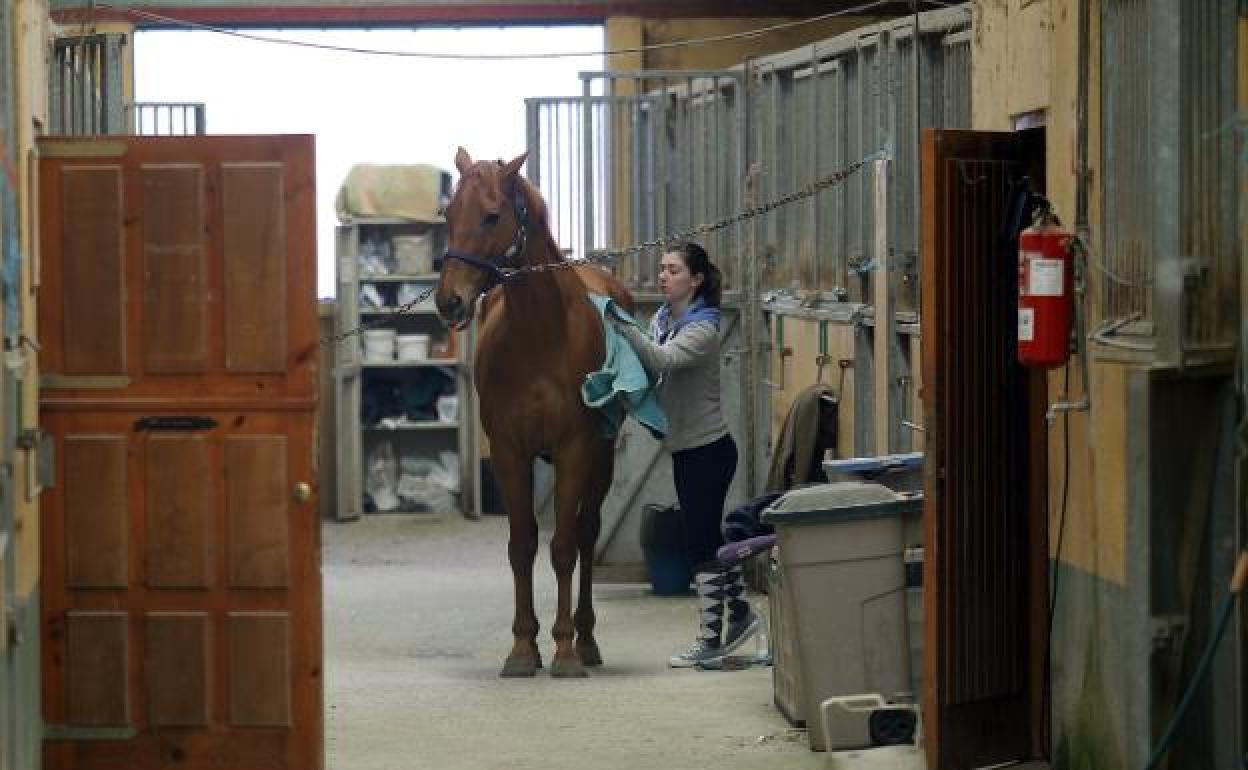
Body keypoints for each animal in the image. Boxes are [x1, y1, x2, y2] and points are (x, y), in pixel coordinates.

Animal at [439, 147, 633, 673]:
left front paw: (564, 650)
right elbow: (521, 545)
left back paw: (586, 640)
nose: (448, 301)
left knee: (586, 533)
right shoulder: (509, 452)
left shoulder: (575, 450)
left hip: (602, 460)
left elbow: (563, 546)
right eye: (448, 214)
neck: (540, 335)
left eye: (491, 215)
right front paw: (524, 647)